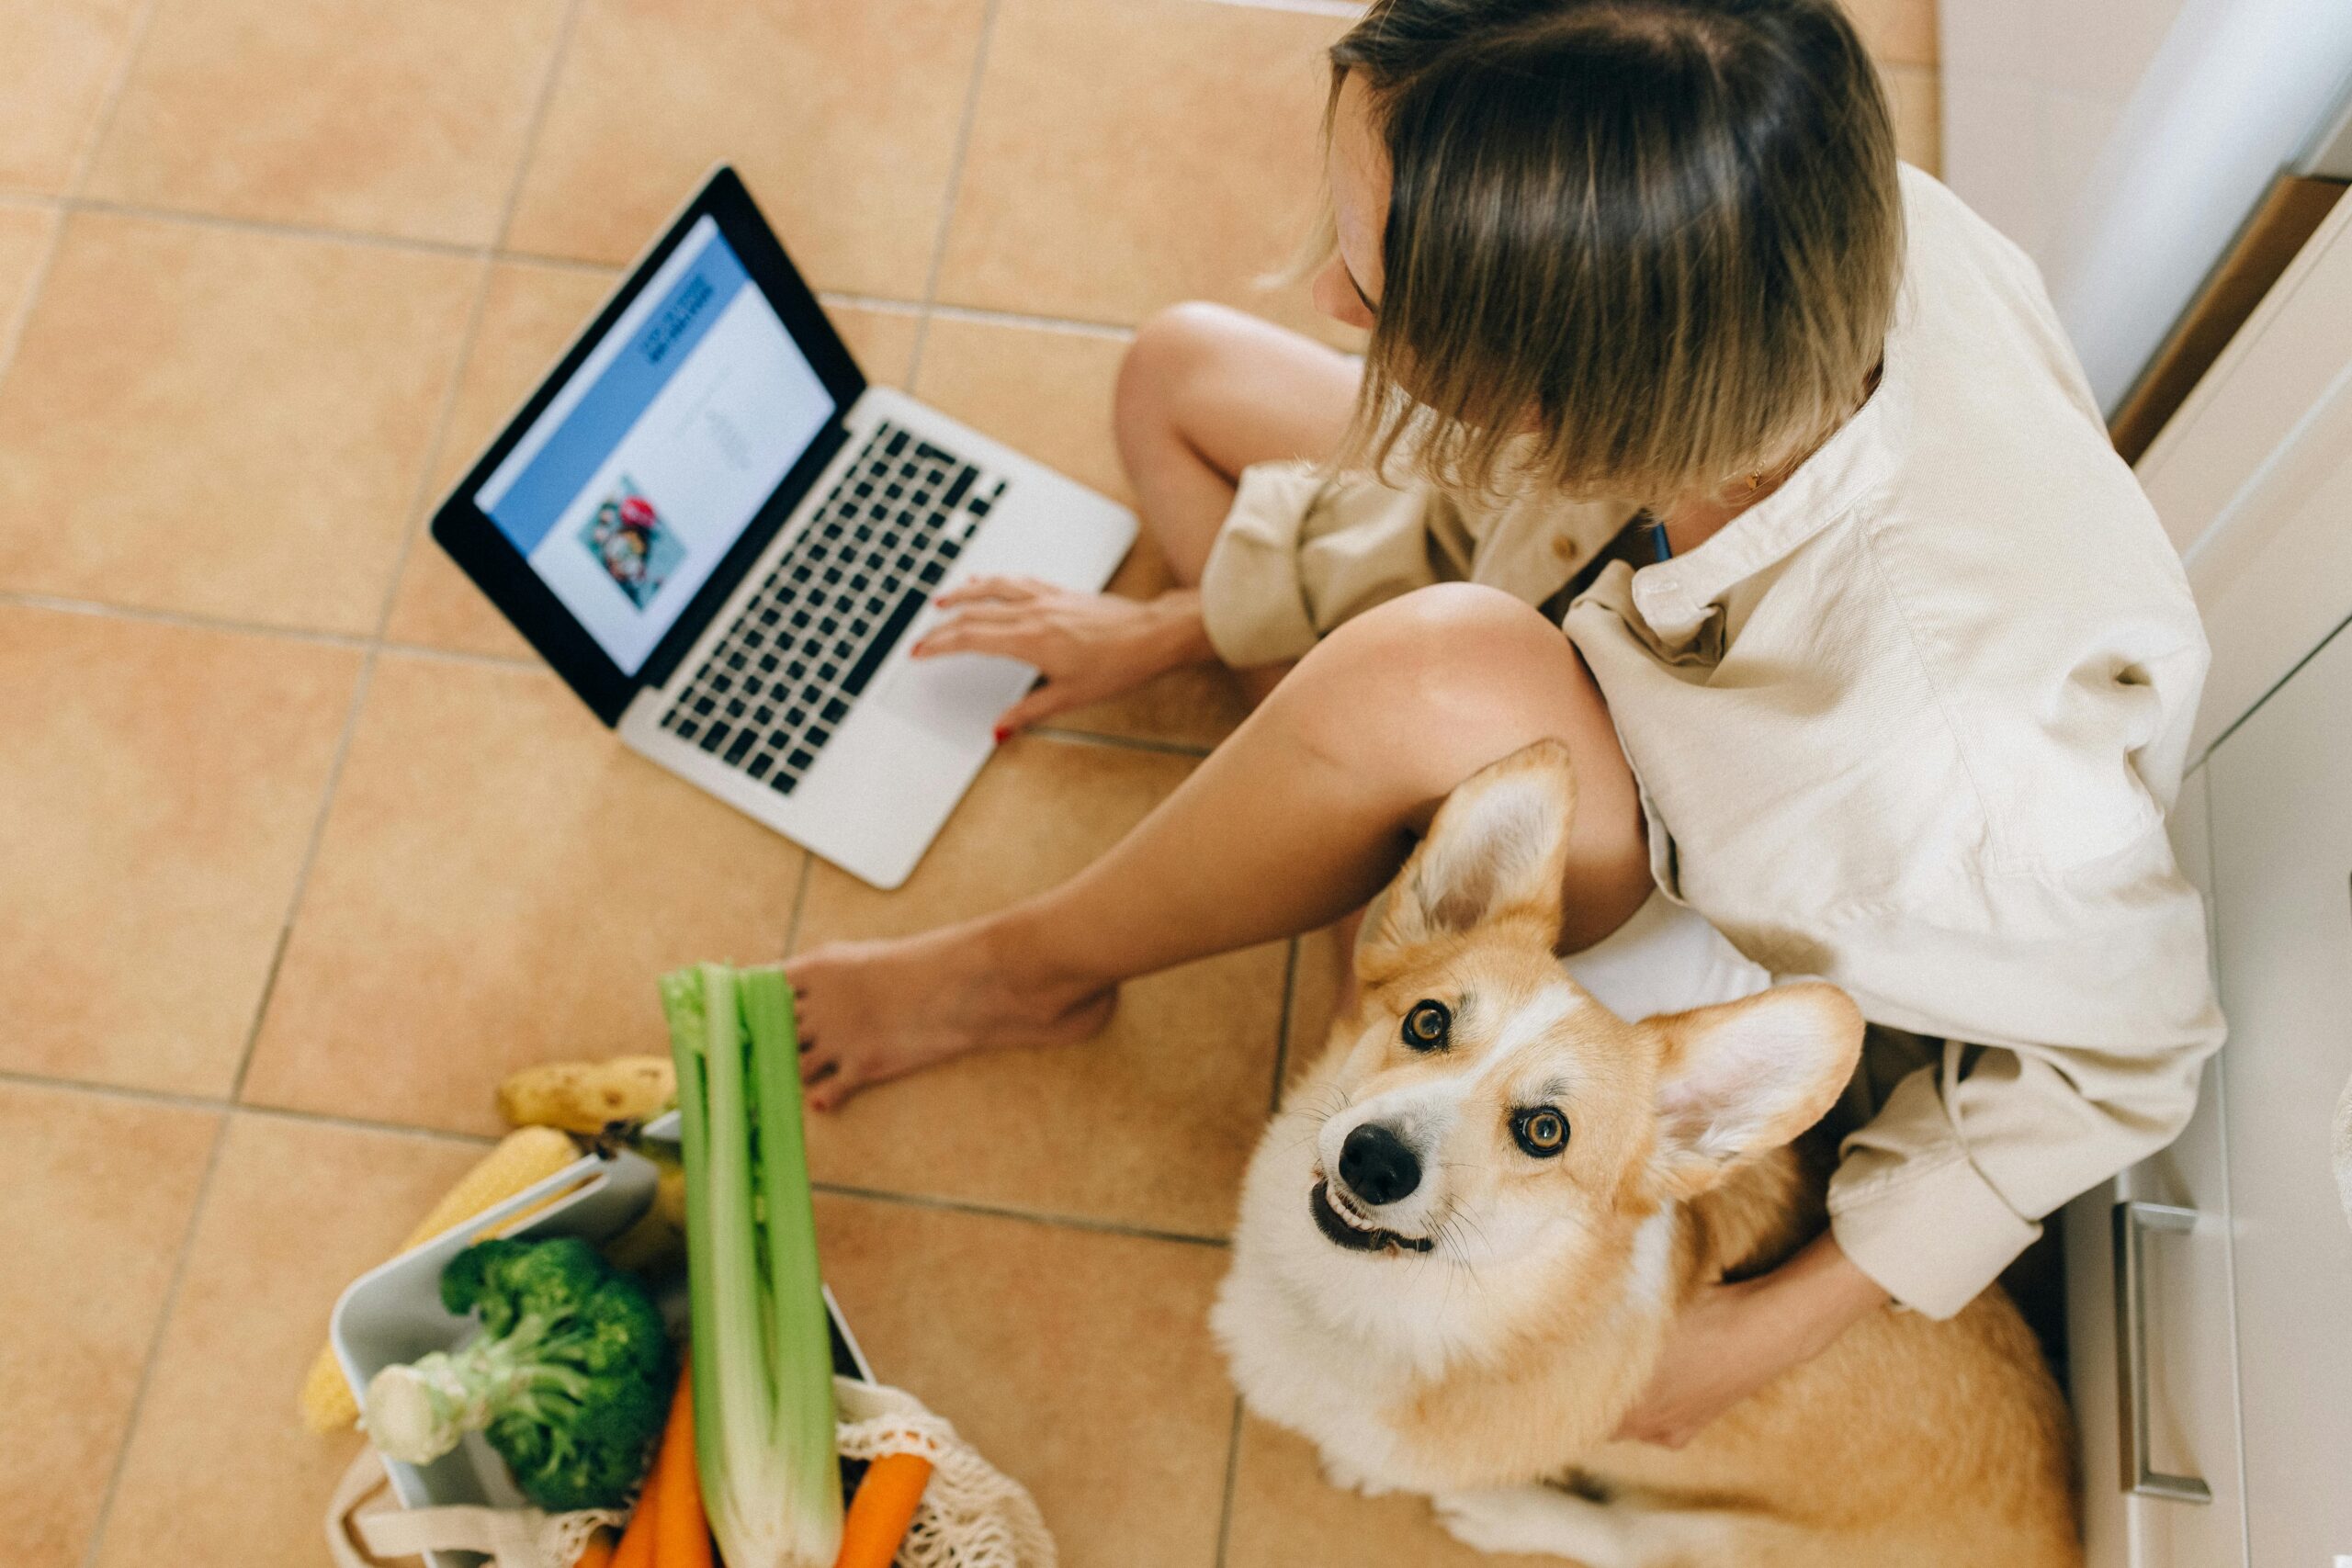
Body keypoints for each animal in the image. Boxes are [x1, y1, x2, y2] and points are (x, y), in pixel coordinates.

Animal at [1223, 742, 2069, 1561]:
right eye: (1427, 1022)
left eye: (1546, 1130)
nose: (1373, 1160)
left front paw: (1367, 1469)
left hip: (1733, 1540)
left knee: (1634, 1541)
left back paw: (1505, 1512)